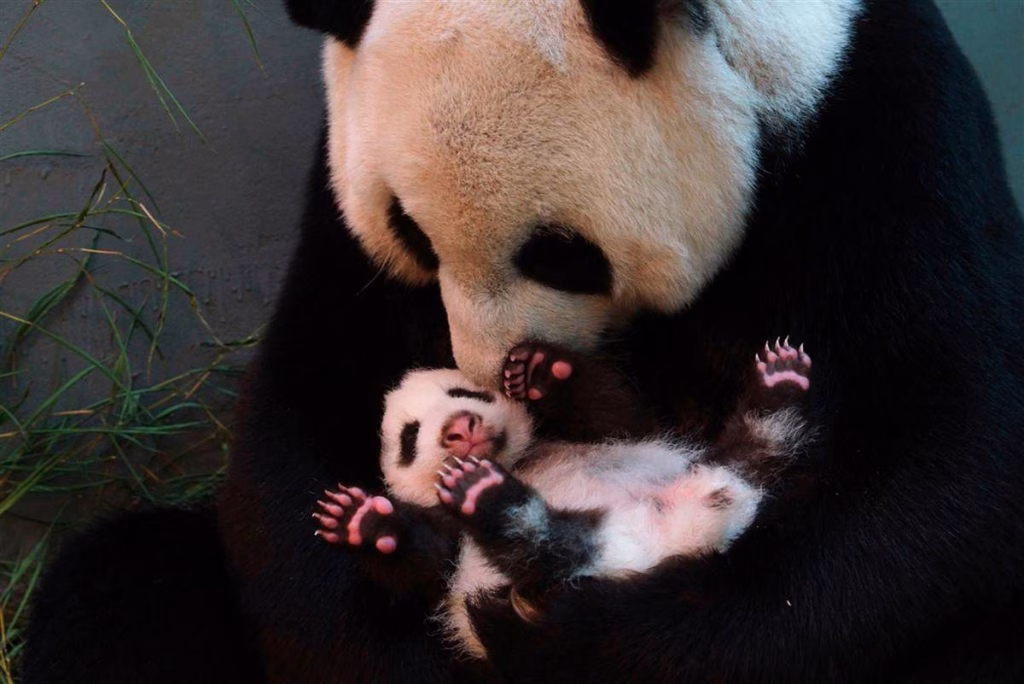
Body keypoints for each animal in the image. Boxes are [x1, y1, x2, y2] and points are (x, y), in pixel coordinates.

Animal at [313, 340, 813, 659]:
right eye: (410, 436)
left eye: (464, 392)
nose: (460, 426)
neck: (520, 463)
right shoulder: (447, 541)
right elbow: (429, 565)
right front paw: (366, 524)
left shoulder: (609, 435)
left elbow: (618, 414)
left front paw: (538, 371)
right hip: (562, 580)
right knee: (543, 547)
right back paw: (489, 499)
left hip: (700, 478)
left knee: (756, 445)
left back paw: (777, 386)